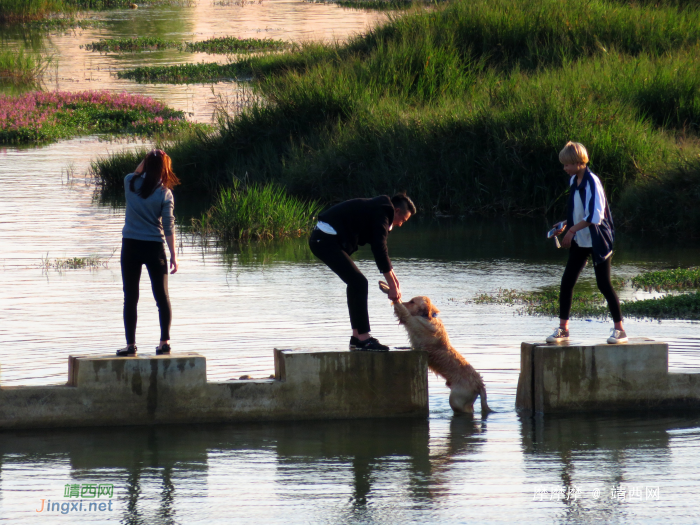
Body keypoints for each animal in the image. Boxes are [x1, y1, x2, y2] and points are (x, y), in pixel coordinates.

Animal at [380, 280, 490, 416]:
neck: (427, 316)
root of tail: (479, 383)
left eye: (412, 301)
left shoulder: (411, 320)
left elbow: (401, 308)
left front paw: (388, 289)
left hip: (456, 400)